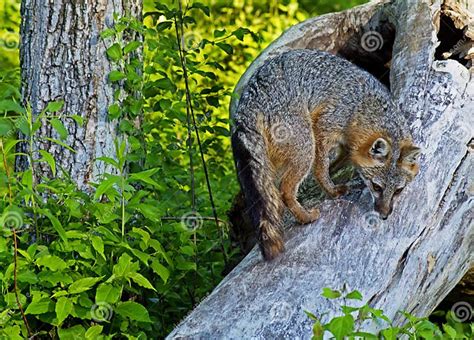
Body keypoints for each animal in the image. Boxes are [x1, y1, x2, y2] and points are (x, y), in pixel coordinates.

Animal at [231, 48, 420, 260]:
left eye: (398, 191)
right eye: (376, 187)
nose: (384, 215)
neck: (362, 106)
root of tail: (248, 102)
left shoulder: (347, 144)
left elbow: (335, 163)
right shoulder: (324, 127)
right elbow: (321, 168)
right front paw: (331, 190)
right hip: (306, 147)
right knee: (285, 190)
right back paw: (305, 217)